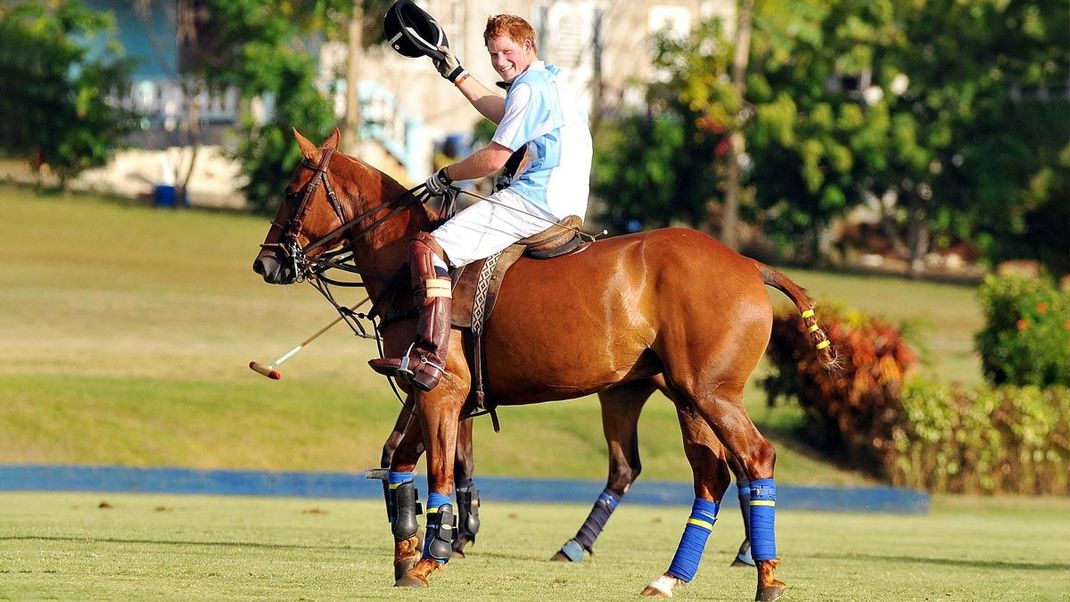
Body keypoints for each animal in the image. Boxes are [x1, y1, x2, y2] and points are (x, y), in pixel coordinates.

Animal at [252, 129, 834, 598]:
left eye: (291, 193)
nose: (266, 263)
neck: (402, 266)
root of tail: (751, 264)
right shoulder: (424, 387)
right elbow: (398, 459)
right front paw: (407, 555)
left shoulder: (444, 389)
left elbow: (440, 466)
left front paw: (432, 556)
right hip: (679, 395)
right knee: (707, 472)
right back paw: (670, 577)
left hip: (709, 390)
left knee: (753, 458)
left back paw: (765, 578)